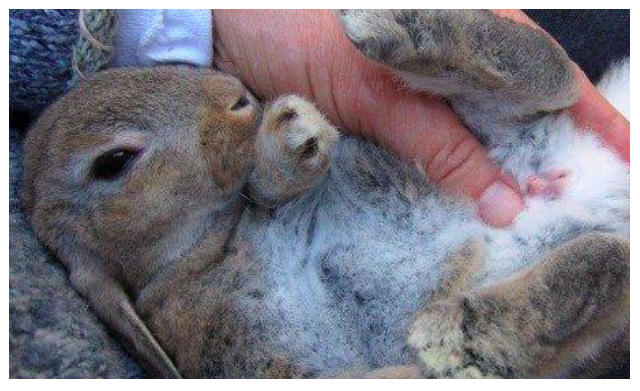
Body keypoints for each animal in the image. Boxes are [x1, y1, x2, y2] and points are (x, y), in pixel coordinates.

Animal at [23, 9, 632, 380]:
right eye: (113, 163)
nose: (238, 97)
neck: (200, 249)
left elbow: (268, 182)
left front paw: (291, 132)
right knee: (607, 260)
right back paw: (456, 334)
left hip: (494, 120)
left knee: (550, 72)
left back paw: (399, 28)